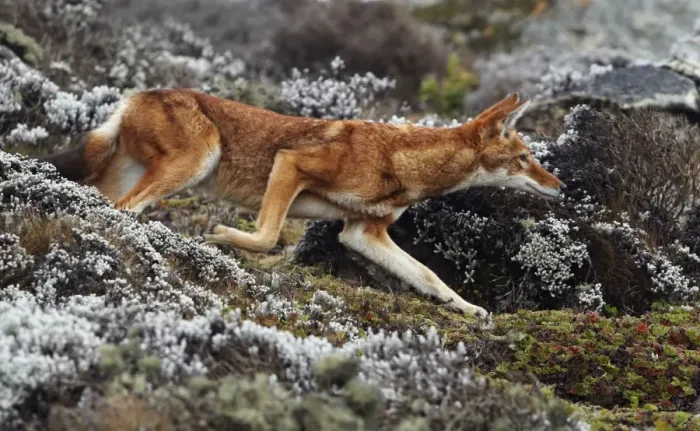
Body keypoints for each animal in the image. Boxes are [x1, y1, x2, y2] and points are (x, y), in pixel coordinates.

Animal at [39, 90, 565, 319]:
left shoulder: (362, 232)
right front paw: (219, 238)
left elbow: (430, 277)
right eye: (525, 158)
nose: (560, 186)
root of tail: (138, 94)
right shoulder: (292, 164)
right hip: (194, 162)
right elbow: (267, 235)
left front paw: (470, 309)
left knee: (107, 205)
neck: (401, 160)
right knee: (126, 212)